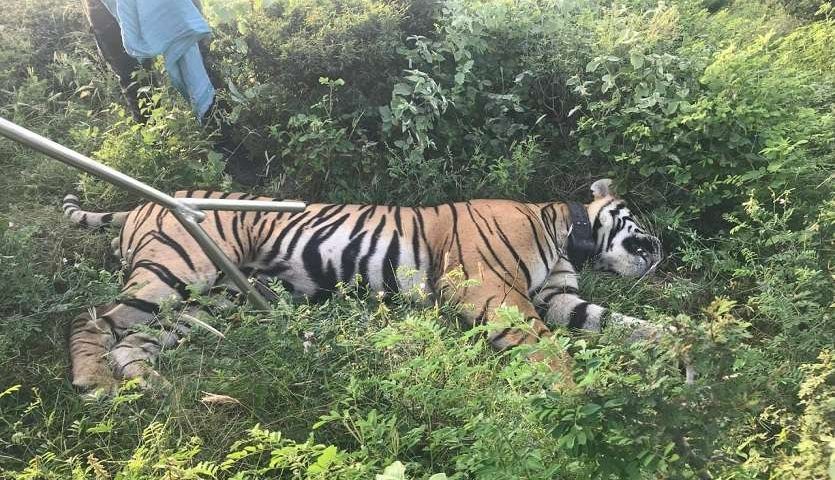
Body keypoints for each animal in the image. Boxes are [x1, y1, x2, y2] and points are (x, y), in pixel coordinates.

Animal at [62, 178, 680, 392]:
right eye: (638, 221)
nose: (661, 250)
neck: (568, 234)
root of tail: (142, 201)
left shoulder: (558, 297)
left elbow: (616, 322)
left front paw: (680, 343)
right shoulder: (489, 291)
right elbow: (548, 347)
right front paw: (574, 397)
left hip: (208, 300)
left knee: (132, 343)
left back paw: (154, 389)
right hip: (177, 274)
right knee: (90, 318)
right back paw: (93, 382)